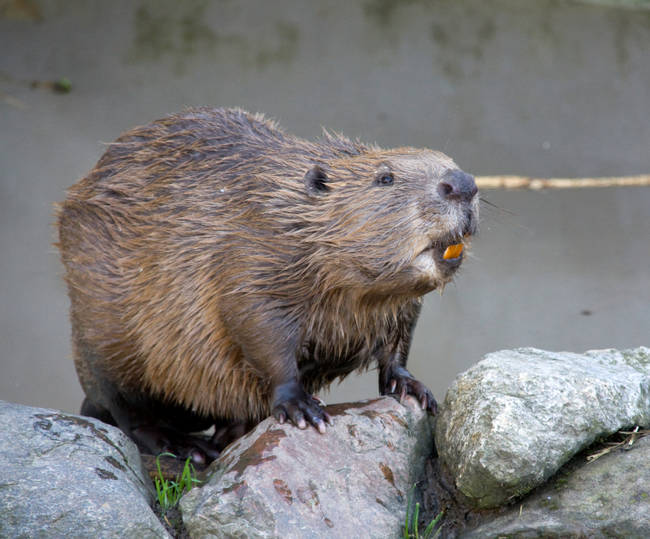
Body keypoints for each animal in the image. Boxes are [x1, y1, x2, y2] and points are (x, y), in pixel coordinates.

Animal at [57, 107, 476, 462]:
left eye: (450, 163)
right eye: (385, 178)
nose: (464, 183)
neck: (290, 215)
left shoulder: (396, 305)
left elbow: (399, 338)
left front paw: (412, 387)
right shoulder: (248, 257)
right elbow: (258, 328)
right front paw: (301, 407)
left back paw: (229, 432)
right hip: (102, 329)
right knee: (125, 408)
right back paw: (187, 446)